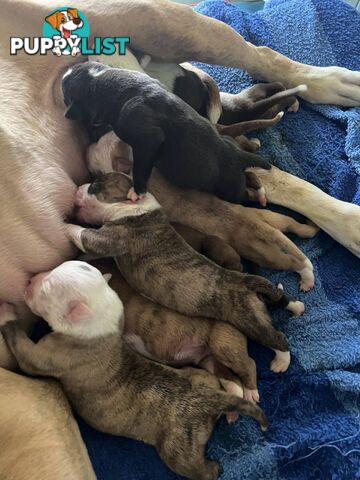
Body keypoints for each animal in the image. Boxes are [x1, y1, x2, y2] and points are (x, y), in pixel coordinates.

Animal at [1, 262, 268, 480]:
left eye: (46, 289)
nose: (29, 280)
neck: (101, 325)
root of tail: (209, 400)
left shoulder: (49, 355)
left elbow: (24, 349)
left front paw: (7, 313)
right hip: (201, 373)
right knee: (220, 377)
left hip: (179, 447)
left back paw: (215, 466)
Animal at [62, 61, 272, 203]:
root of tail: (239, 156)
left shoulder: (146, 137)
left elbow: (141, 165)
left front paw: (137, 191)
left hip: (230, 190)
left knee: (244, 195)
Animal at [67, 172, 304, 372]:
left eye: (95, 186)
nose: (79, 186)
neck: (137, 207)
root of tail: (247, 282)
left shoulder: (109, 238)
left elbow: (82, 233)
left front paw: (66, 224)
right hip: (259, 307)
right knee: (279, 297)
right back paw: (297, 306)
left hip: (250, 321)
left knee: (277, 339)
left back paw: (281, 362)